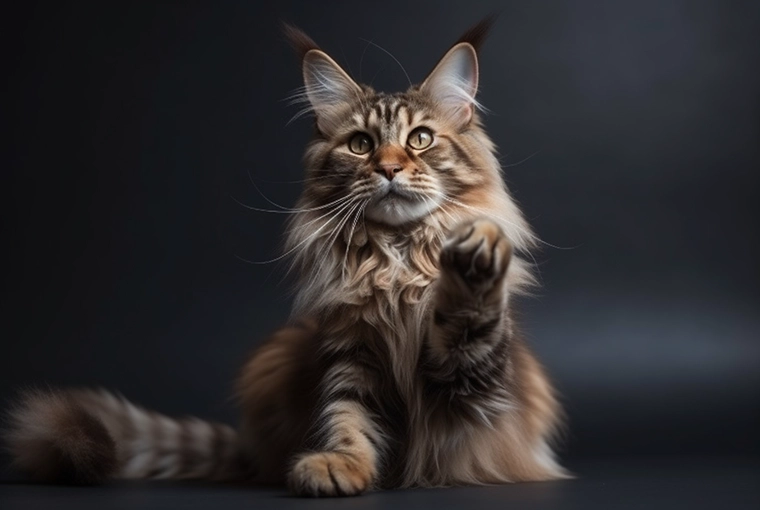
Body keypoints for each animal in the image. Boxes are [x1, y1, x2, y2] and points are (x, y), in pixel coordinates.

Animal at [5, 19, 568, 494]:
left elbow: (469, 317)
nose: (388, 168)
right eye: (361, 145)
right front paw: (340, 466)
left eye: (421, 139)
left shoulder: (469, 383)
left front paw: (476, 250)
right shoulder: (350, 350)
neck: (396, 258)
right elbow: (348, 416)